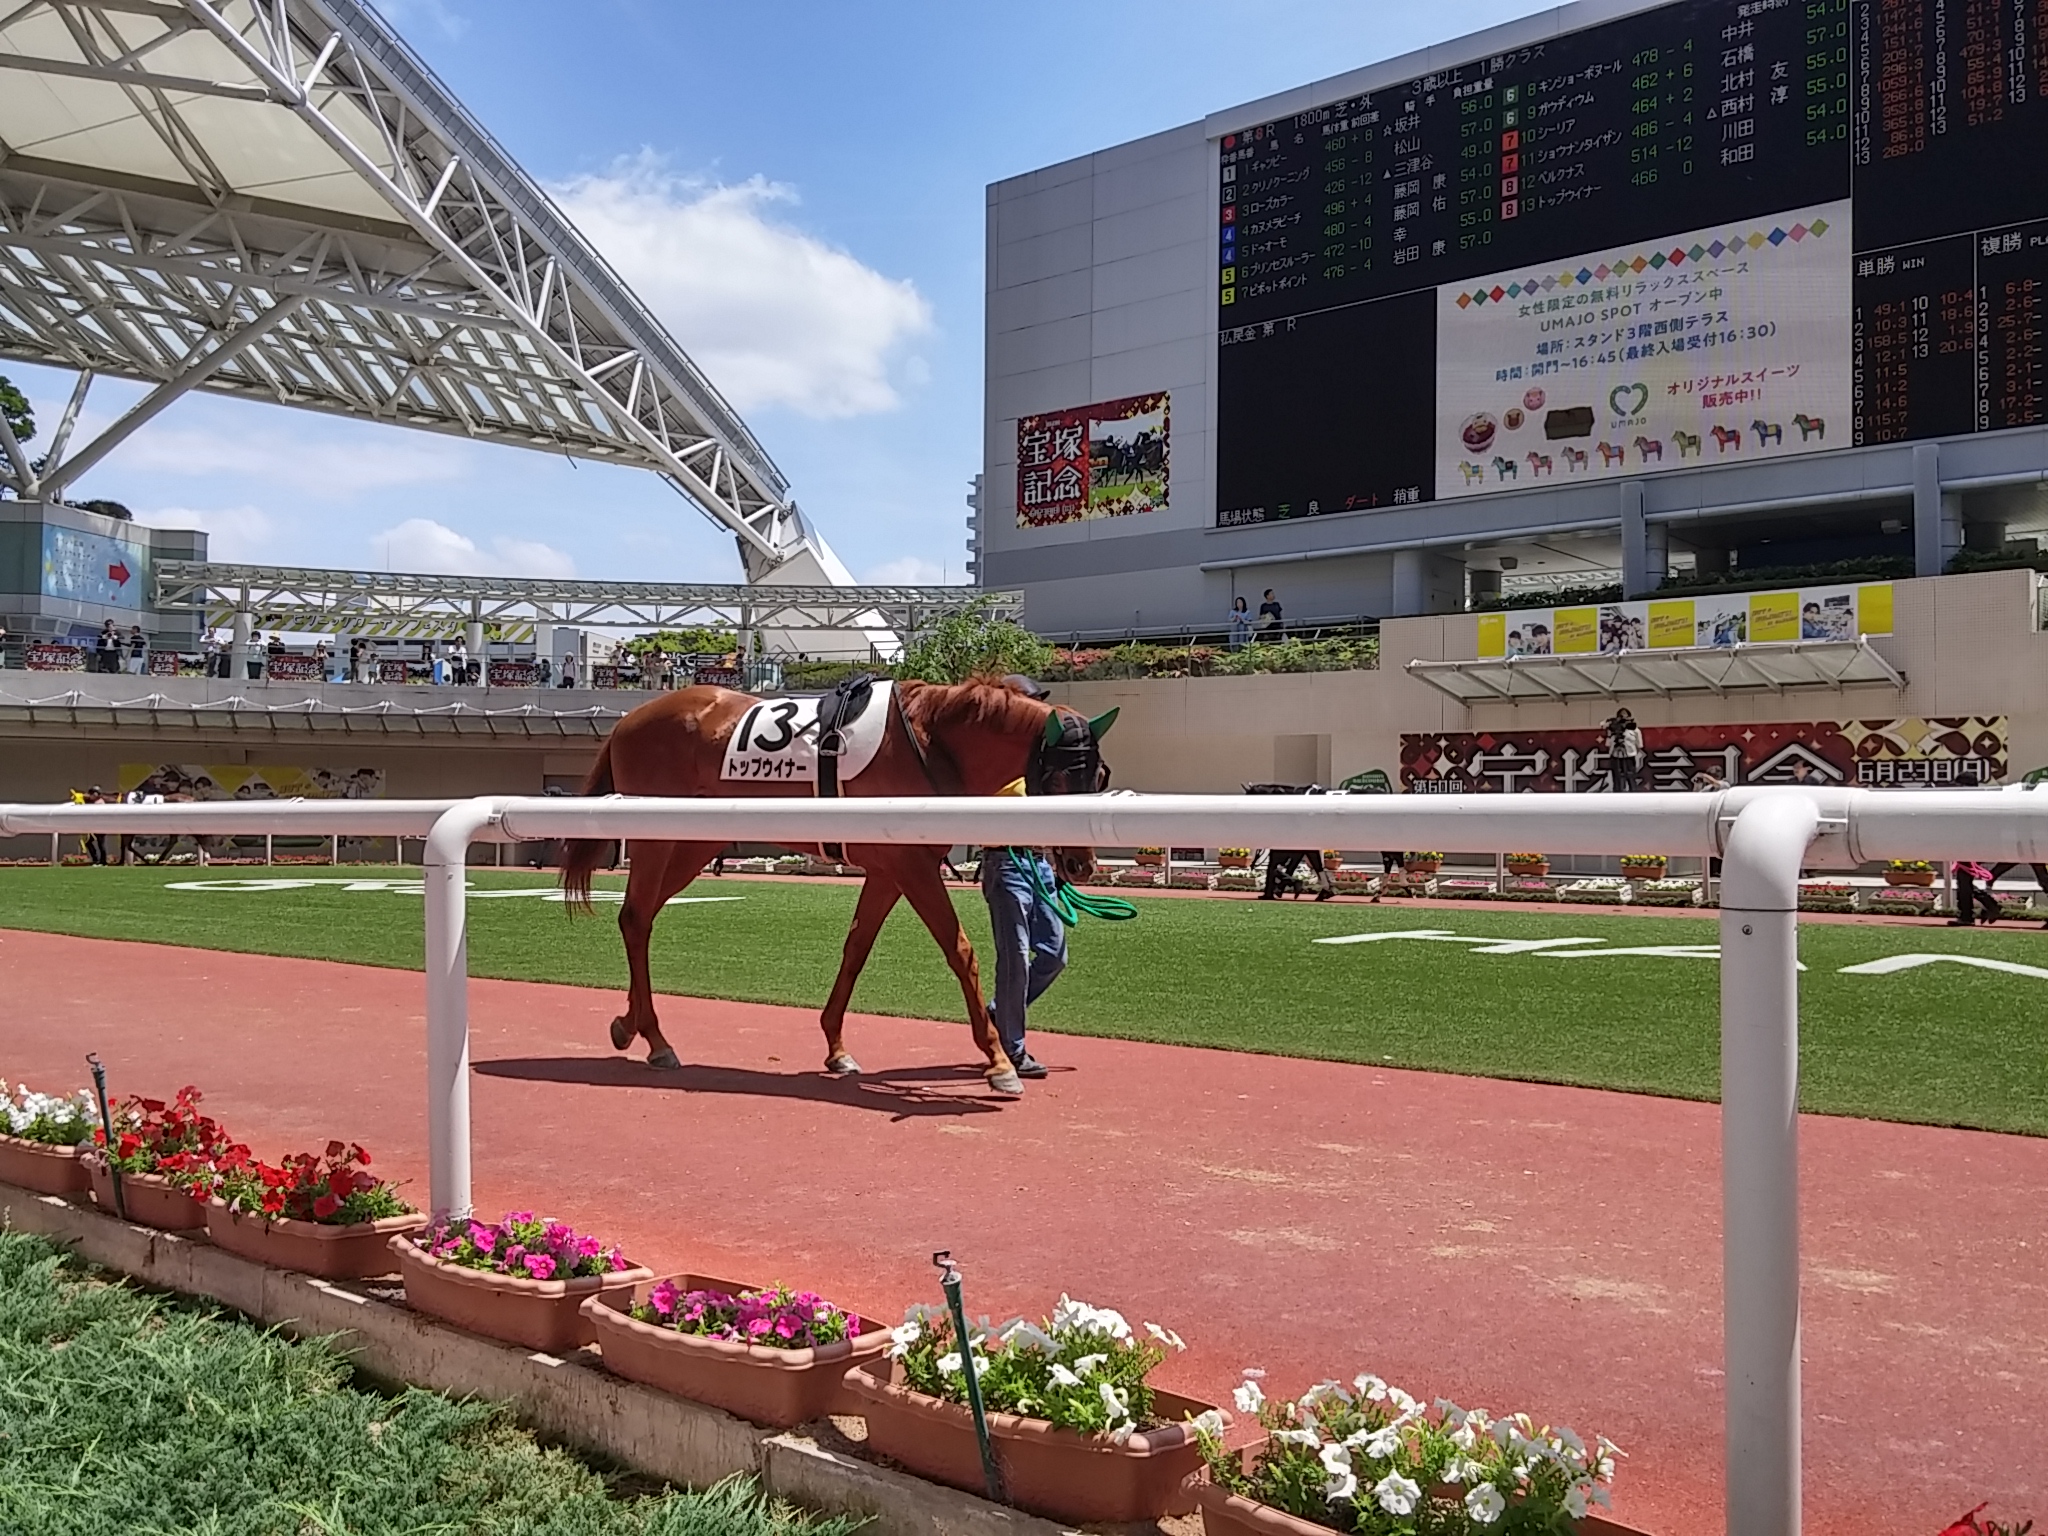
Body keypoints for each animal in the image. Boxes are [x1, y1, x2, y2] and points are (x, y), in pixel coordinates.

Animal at [558, 678, 1115, 1097]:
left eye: (1098, 776)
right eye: (1058, 778)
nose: (1081, 864)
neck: (931, 741)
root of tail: (629, 719)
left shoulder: (890, 870)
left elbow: (856, 948)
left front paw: (836, 1049)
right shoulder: (911, 866)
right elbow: (961, 952)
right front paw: (999, 1060)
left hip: (696, 841)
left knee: (642, 915)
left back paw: (631, 1024)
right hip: (656, 836)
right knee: (636, 917)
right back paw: (655, 1038)